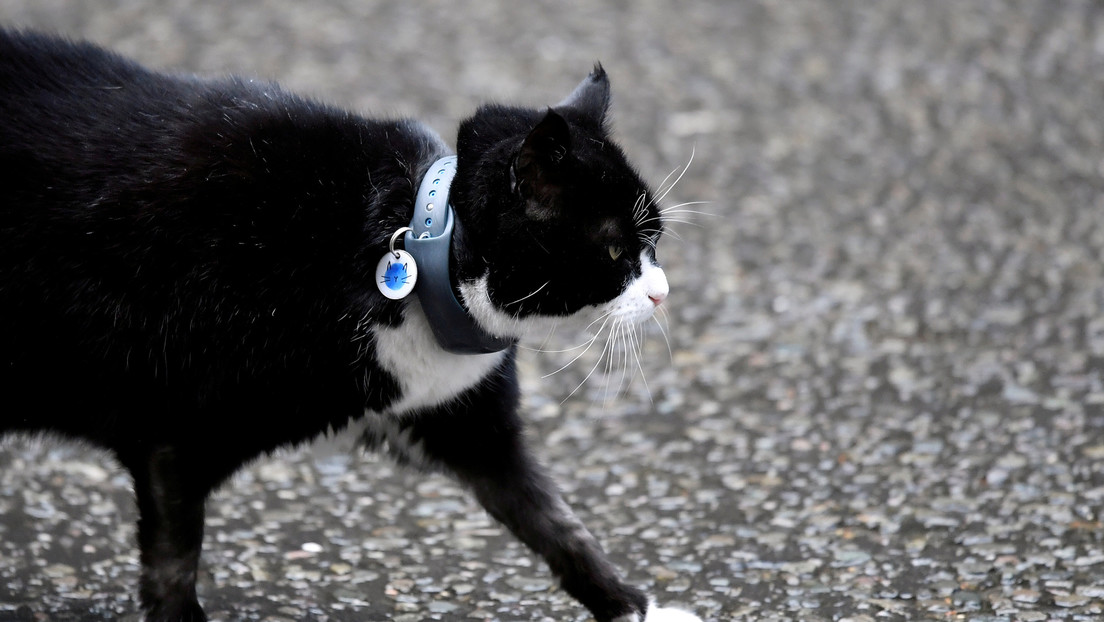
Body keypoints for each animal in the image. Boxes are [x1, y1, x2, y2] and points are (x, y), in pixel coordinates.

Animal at [0, 30, 697, 622]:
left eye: (655, 242)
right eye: (615, 252)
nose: (662, 293)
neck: (420, 242)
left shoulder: (461, 418)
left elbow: (554, 522)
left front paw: (633, 607)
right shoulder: (175, 436)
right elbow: (173, 564)